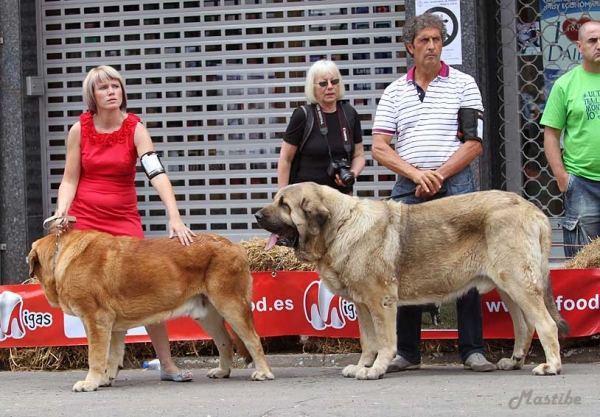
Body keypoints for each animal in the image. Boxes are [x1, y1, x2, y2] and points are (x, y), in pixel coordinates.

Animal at [255, 181, 568, 376]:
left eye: (284, 204)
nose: (256, 215)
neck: (340, 226)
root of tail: (534, 210)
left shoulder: (380, 302)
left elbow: (384, 341)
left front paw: (376, 369)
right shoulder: (363, 305)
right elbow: (368, 342)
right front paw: (362, 366)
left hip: (518, 283)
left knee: (546, 325)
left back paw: (551, 366)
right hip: (507, 287)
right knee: (525, 326)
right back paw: (514, 362)